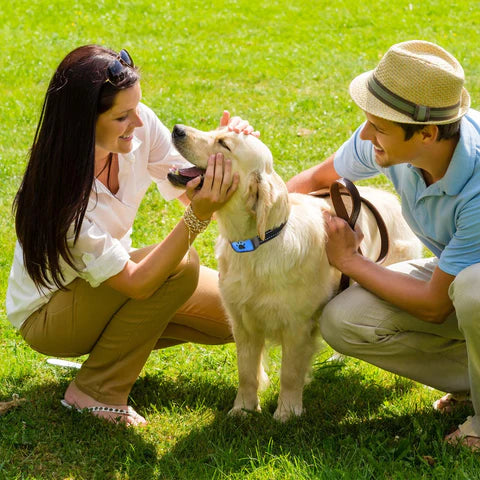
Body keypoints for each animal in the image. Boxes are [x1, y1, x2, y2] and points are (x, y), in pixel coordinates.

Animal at [168, 125, 420, 422]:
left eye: (223, 143)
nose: (177, 129)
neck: (257, 244)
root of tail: (389, 197)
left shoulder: (297, 326)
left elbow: (289, 373)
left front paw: (286, 412)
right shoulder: (242, 323)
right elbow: (246, 372)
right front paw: (243, 409)